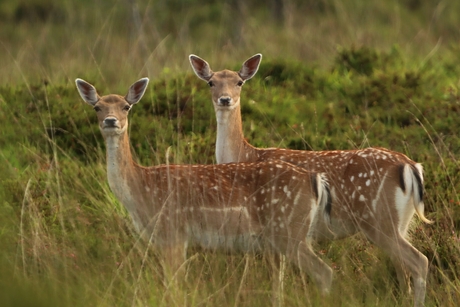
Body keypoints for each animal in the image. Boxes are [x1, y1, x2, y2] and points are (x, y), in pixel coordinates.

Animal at [75, 78, 334, 298]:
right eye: (97, 107)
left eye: (126, 106)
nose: (111, 121)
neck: (141, 191)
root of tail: (314, 179)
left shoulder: (174, 232)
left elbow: (175, 285)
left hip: (288, 228)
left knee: (325, 271)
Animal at [190, 54, 432, 306]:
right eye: (211, 82)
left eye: (239, 82)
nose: (225, 99)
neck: (245, 155)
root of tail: (410, 166)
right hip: (401, 222)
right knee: (402, 267)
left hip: (379, 218)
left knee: (419, 261)